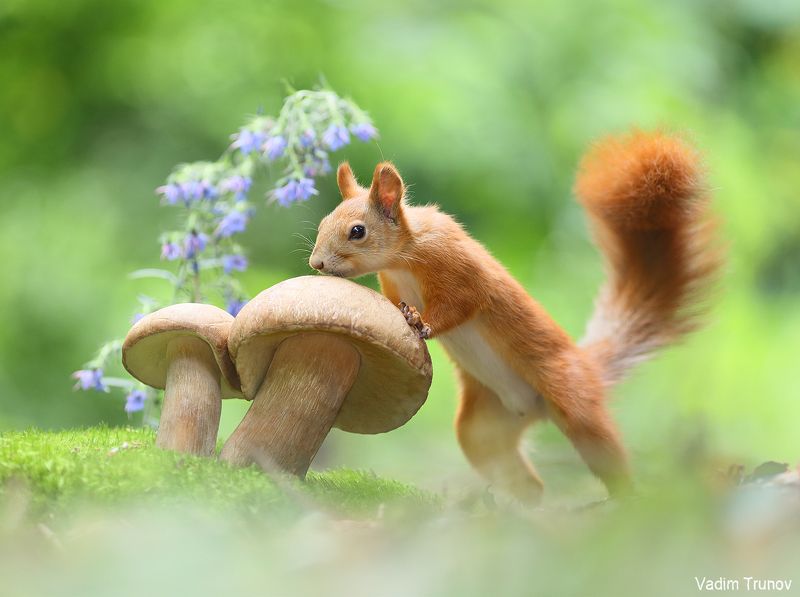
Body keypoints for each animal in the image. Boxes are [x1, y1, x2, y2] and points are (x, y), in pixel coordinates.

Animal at [309, 131, 721, 503]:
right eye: (323, 222)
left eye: (357, 231)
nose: (316, 264)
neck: (403, 258)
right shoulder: (392, 284)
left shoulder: (455, 270)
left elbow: (458, 305)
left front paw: (420, 323)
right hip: (482, 428)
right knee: (526, 482)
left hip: (573, 400)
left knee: (607, 455)